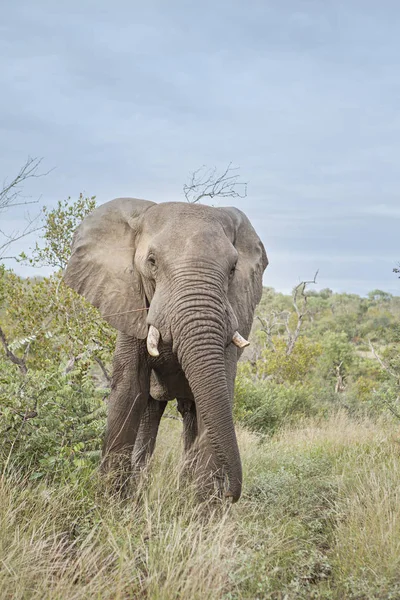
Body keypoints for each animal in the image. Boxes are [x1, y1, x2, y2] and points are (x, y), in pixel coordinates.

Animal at [63, 198, 268, 502]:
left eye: (233, 268)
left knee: (192, 412)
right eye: (152, 262)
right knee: (151, 409)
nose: (231, 493)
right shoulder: (130, 301)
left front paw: (203, 509)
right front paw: (110, 502)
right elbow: (128, 389)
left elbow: (219, 395)